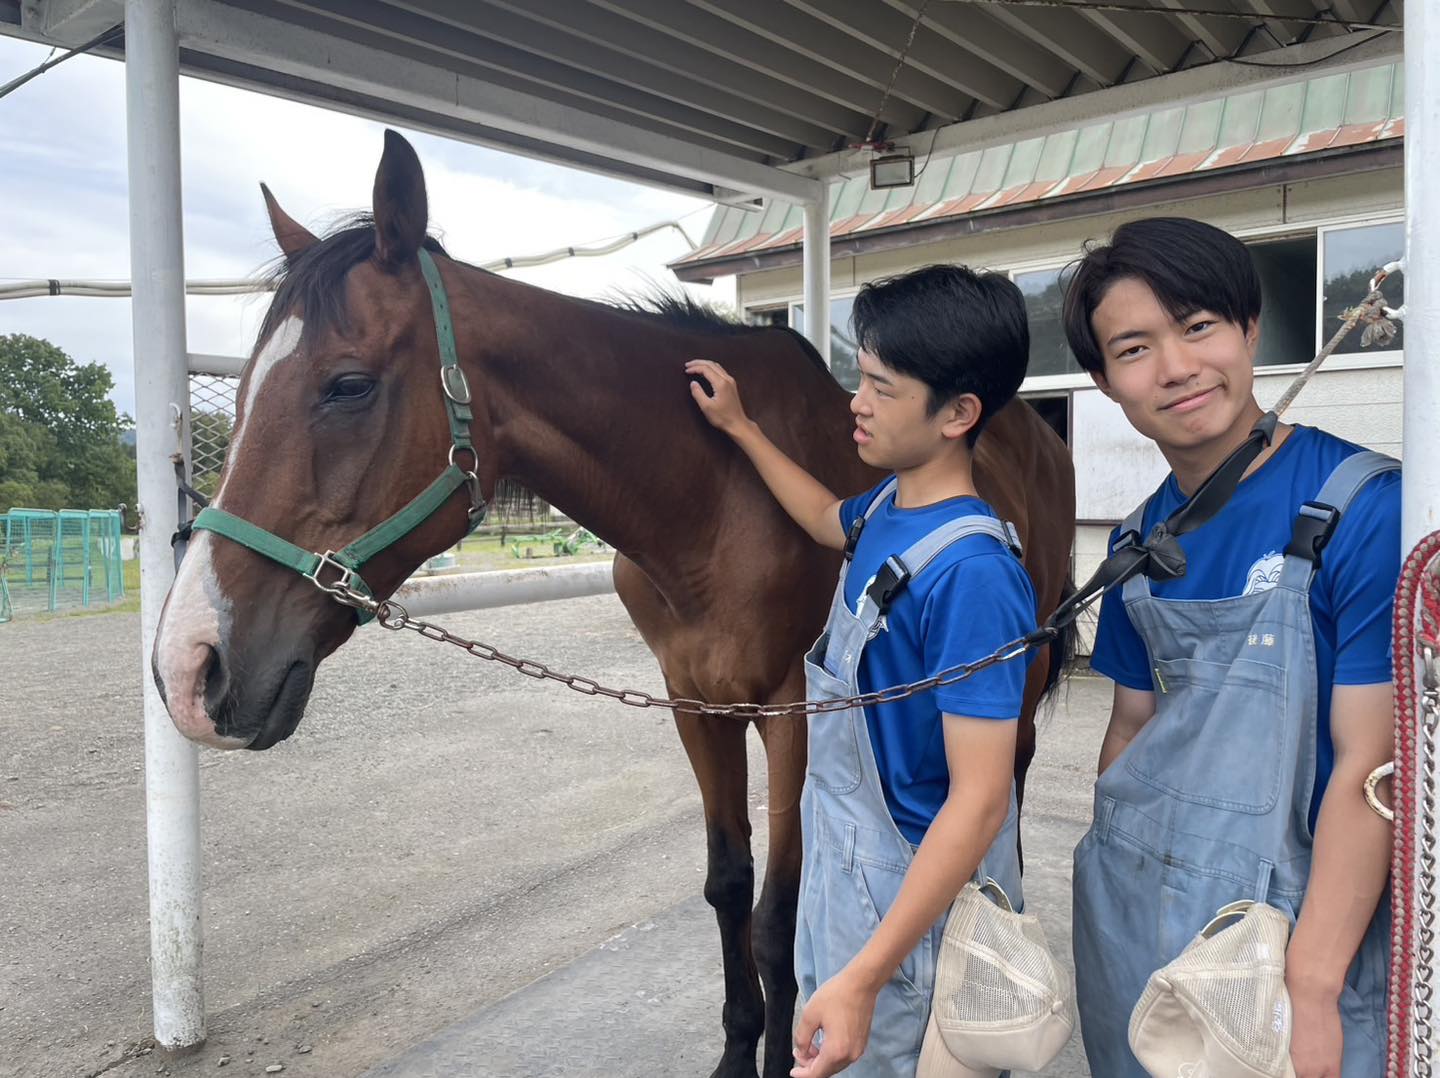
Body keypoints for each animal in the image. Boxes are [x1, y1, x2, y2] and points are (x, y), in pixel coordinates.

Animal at [152, 130, 1076, 1078]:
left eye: (347, 384)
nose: (191, 665)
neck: (718, 494)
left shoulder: (795, 710)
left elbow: (779, 913)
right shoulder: (694, 703)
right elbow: (729, 886)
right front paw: (736, 1052)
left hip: (1022, 661)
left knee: (1007, 772)